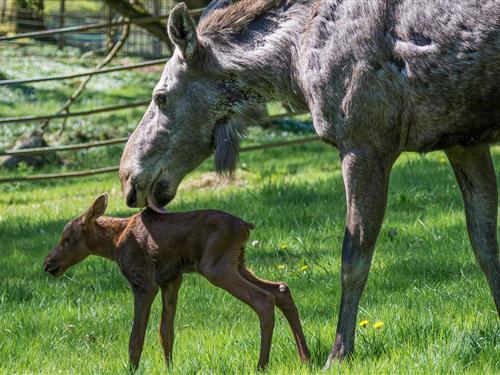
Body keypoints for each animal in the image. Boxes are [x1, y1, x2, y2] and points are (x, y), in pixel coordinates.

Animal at [44, 195, 308, 372]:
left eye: (67, 238)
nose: (48, 264)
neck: (113, 244)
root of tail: (246, 226)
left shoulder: (143, 281)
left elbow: (136, 338)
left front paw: (132, 369)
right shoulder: (171, 280)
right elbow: (166, 332)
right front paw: (169, 367)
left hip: (216, 267)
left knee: (263, 299)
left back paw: (261, 364)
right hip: (238, 263)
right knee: (281, 289)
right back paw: (305, 357)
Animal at [119, 0, 498, 370]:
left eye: (161, 96)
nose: (128, 178)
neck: (293, 62)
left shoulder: (365, 144)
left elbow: (353, 258)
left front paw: (339, 352)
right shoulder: (463, 141)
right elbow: (484, 245)